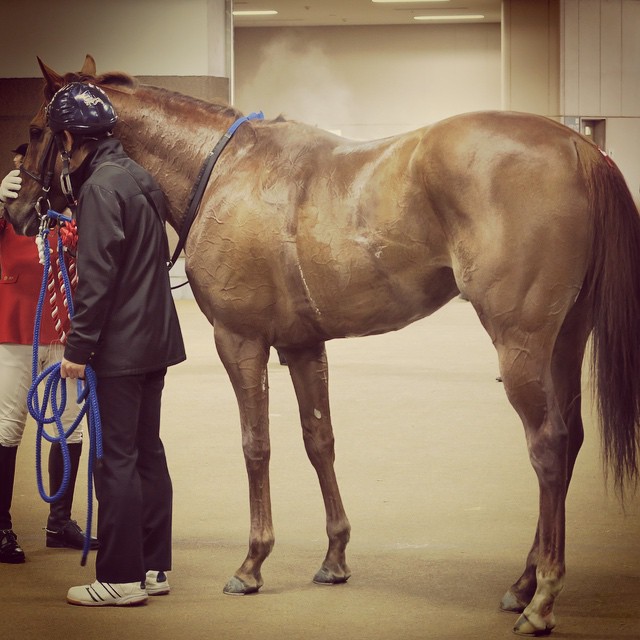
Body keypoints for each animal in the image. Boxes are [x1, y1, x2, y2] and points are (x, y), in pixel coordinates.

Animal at [6, 56, 640, 636]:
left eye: (35, 130)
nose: (16, 210)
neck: (226, 172)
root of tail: (578, 146)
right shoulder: (303, 345)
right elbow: (320, 442)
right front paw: (335, 558)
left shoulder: (240, 341)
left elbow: (256, 445)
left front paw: (252, 563)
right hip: (564, 342)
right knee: (569, 440)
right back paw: (523, 583)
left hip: (522, 346)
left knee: (548, 448)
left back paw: (542, 599)